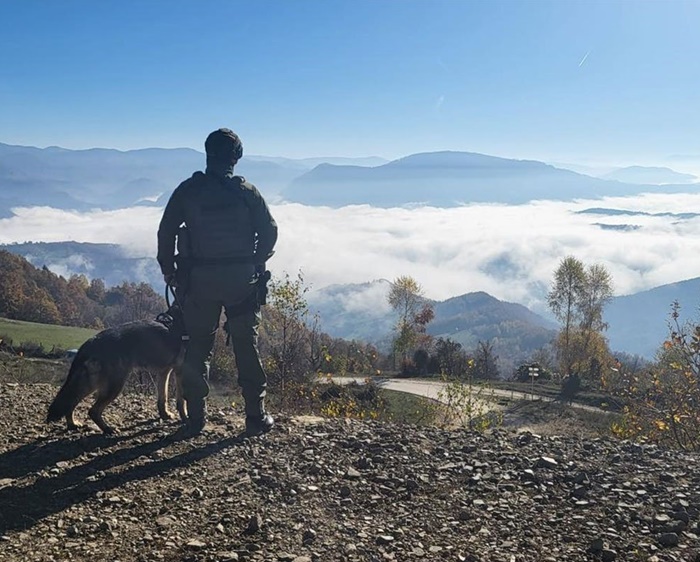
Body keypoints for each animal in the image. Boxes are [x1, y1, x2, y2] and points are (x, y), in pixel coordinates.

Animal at [46, 306, 189, 434]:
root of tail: (91, 341)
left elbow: (163, 397)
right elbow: (181, 400)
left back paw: (73, 424)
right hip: (114, 385)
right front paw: (185, 418)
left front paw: (165, 415)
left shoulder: (165, 371)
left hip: (90, 384)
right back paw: (108, 429)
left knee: (70, 402)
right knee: (92, 411)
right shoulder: (181, 371)